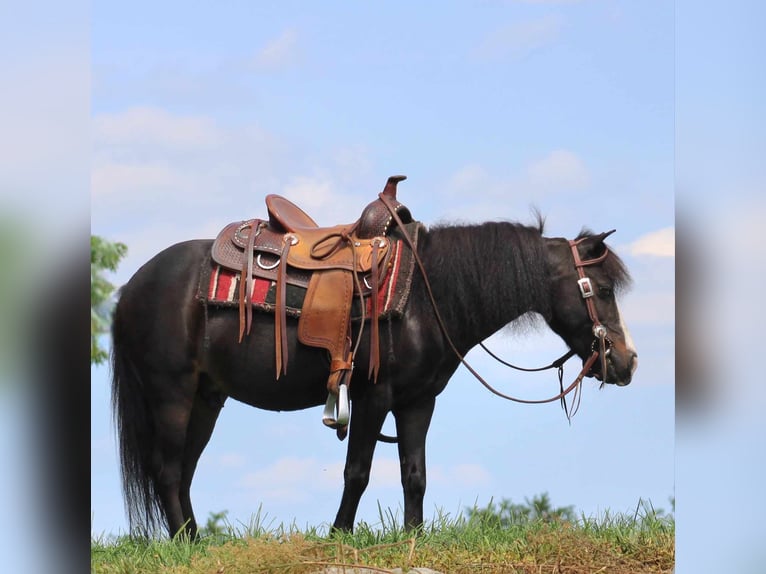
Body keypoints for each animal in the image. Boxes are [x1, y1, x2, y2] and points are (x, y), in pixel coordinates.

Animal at [111, 214, 640, 536]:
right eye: (604, 289)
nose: (628, 361)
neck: (428, 296)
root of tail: (132, 287)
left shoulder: (417, 401)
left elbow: (414, 474)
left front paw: (413, 536)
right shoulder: (373, 396)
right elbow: (358, 472)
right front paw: (339, 534)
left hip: (207, 398)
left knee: (184, 471)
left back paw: (196, 540)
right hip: (171, 392)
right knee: (167, 469)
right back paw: (186, 543)